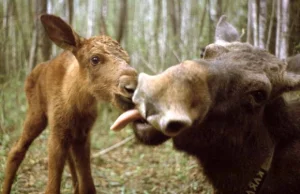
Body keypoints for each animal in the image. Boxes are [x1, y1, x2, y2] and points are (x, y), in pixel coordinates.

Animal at [2, 14, 137, 194]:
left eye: (128, 59)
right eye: (95, 59)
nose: (132, 86)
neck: (76, 104)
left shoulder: (83, 135)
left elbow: (88, 186)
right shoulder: (57, 133)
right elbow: (52, 188)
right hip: (36, 114)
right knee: (16, 149)